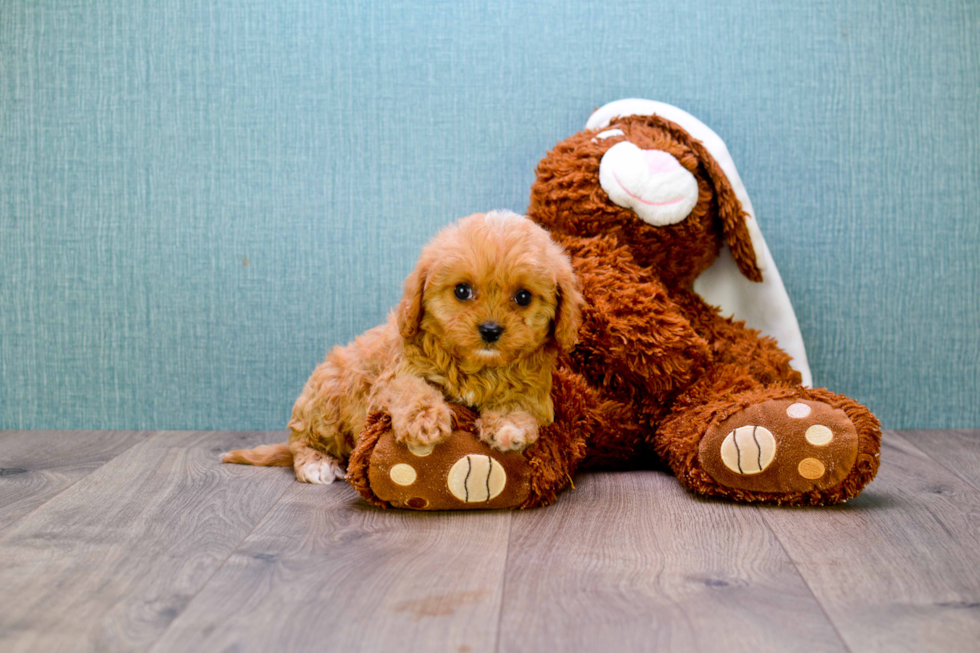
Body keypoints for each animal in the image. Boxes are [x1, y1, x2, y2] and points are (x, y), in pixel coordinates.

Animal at [224, 211, 580, 482]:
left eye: (523, 297)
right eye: (462, 291)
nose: (490, 330)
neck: (477, 367)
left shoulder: (532, 392)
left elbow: (516, 405)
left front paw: (508, 427)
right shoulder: (394, 379)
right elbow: (413, 390)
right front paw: (425, 421)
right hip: (325, 398)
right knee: (302, 439)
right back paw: (316, 463)